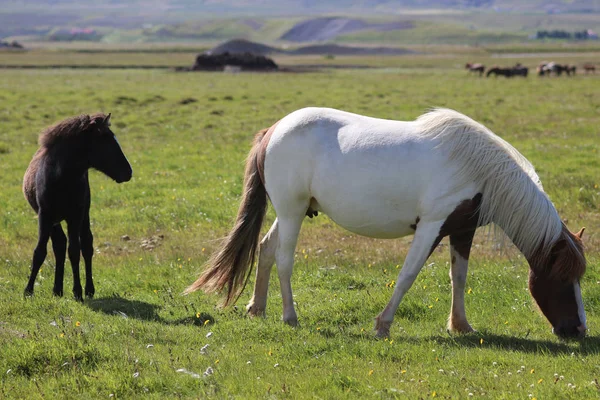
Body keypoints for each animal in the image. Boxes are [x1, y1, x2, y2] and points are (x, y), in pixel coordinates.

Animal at [24, 112, 131, 300]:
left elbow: (74, 251)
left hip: (84, 214)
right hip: (55, 220)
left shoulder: (75, 215)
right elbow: (40, 252)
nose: (128, 172)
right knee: (59, 245)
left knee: (86, 245)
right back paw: (57, 290)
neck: (61, 179)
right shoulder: (45, 215)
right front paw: (28, 291)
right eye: (107, 143)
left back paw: (88, 290)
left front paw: (78, 292)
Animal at [186, 108, 584, 340]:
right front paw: (383, 324)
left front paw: (461, 325)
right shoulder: (432, 226)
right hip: (291, 211)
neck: (477, 168)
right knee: (284, 260)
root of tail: (274, 129)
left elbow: (459, 277)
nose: (579, 329)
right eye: (562, 277)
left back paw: (257, 308)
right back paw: (289, 316)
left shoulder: (462, 229)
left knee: (266, 250)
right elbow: (408, 275)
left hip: (290, 213)